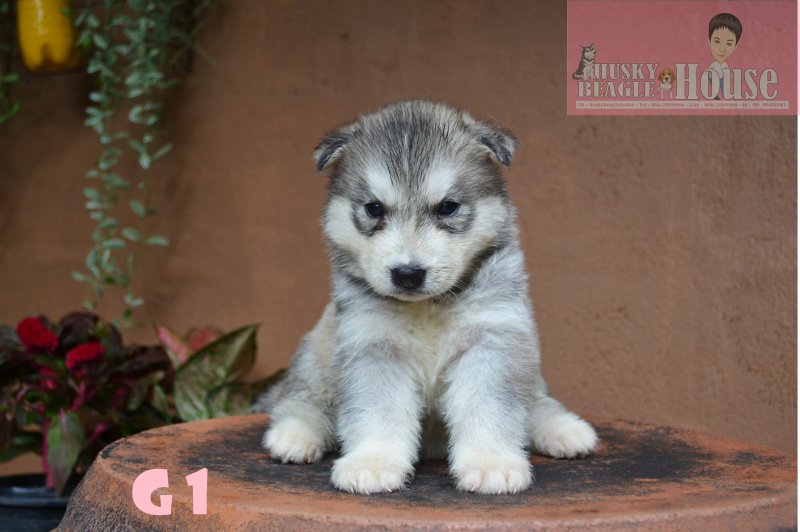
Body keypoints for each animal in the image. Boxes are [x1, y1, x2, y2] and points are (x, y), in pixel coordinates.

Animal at [253, 101, 598, 495]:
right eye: (374, 208)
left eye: (447, 207)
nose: (408, 273)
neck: (427, 308)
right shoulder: (374, 347)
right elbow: (378, 410)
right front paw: (373, 462)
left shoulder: (492, 341)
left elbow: (488, 406)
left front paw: (491, 462)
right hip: (319, 352)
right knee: (299, 399)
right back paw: (295, 434)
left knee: (537, 400)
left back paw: (564, 429)